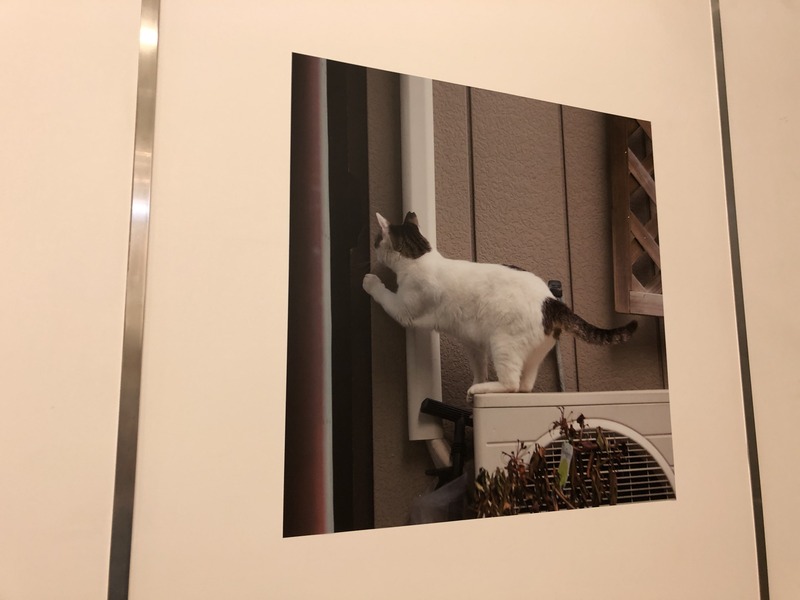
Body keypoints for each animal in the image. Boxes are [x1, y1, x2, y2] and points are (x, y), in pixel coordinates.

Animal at [362, 211, 637, 399]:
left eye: (376, 239)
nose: (373, 247)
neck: (420, 258)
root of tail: (551, 302)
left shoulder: (403, 309)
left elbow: (384, 294)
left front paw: (370, 280)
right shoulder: (473, 342)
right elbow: (479, 365)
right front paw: (477, 378)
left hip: (504, 344)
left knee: (512, 384)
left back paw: (480, 389)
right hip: (534, 354)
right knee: (525, 386)